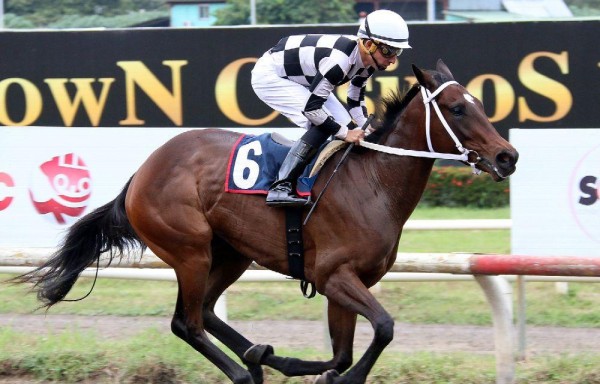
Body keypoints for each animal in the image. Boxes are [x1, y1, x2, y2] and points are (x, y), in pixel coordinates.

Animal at [16, 58, 516, 382]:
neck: (371, 181)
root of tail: (142, 172)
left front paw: (312, 368)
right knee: (187, 323)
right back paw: (245, 371)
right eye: (457, 108)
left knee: (206, 312)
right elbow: (383, 329)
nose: (506, 156)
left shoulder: (348, 284)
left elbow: (344, 351)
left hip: (230, 253)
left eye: (479, 103)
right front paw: (332, 375)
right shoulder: (335, 275)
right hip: (190, 250)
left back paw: (262, 356)